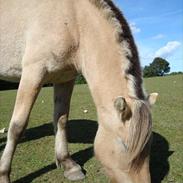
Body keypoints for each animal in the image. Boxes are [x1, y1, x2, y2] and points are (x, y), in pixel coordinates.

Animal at [0, 0, 158, 182]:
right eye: (124, 145)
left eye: (149, 143)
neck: (74, 20)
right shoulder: (33, 73)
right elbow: (17, 126)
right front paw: (4, 174)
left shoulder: (65, 78)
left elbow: (61, 120)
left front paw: (68, 164)